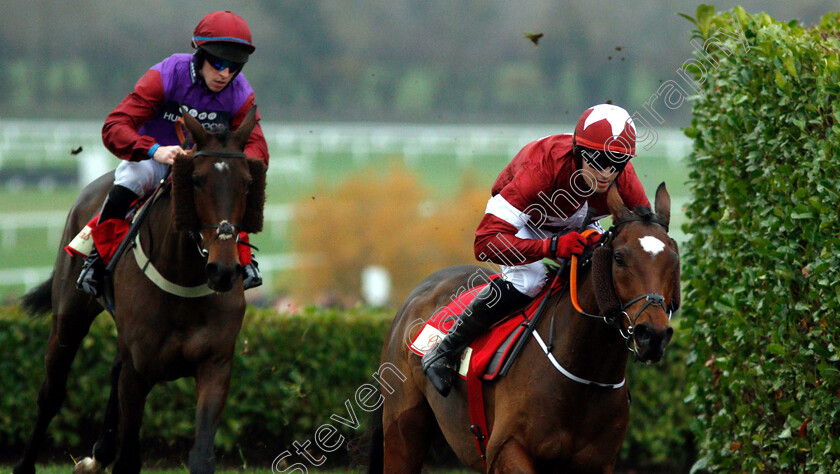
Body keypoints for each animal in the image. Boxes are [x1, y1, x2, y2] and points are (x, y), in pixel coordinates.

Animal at [14, 108, 268, 474]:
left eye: (247, 183)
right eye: (196, 180)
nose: (222, 271)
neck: (184, 279)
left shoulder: (215, 363)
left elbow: (202, 455)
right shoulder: (140, 367)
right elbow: (128, 458)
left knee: (113, 368)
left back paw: (98, 454)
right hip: (69, 315)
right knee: (52, 391)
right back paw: (27, 463)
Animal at [370, 183, 680, 472]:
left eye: (674, 261)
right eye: (619, 258)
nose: (652, 335)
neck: (587, 375)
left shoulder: (600, 462)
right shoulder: (507, 450)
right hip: (403, 431)